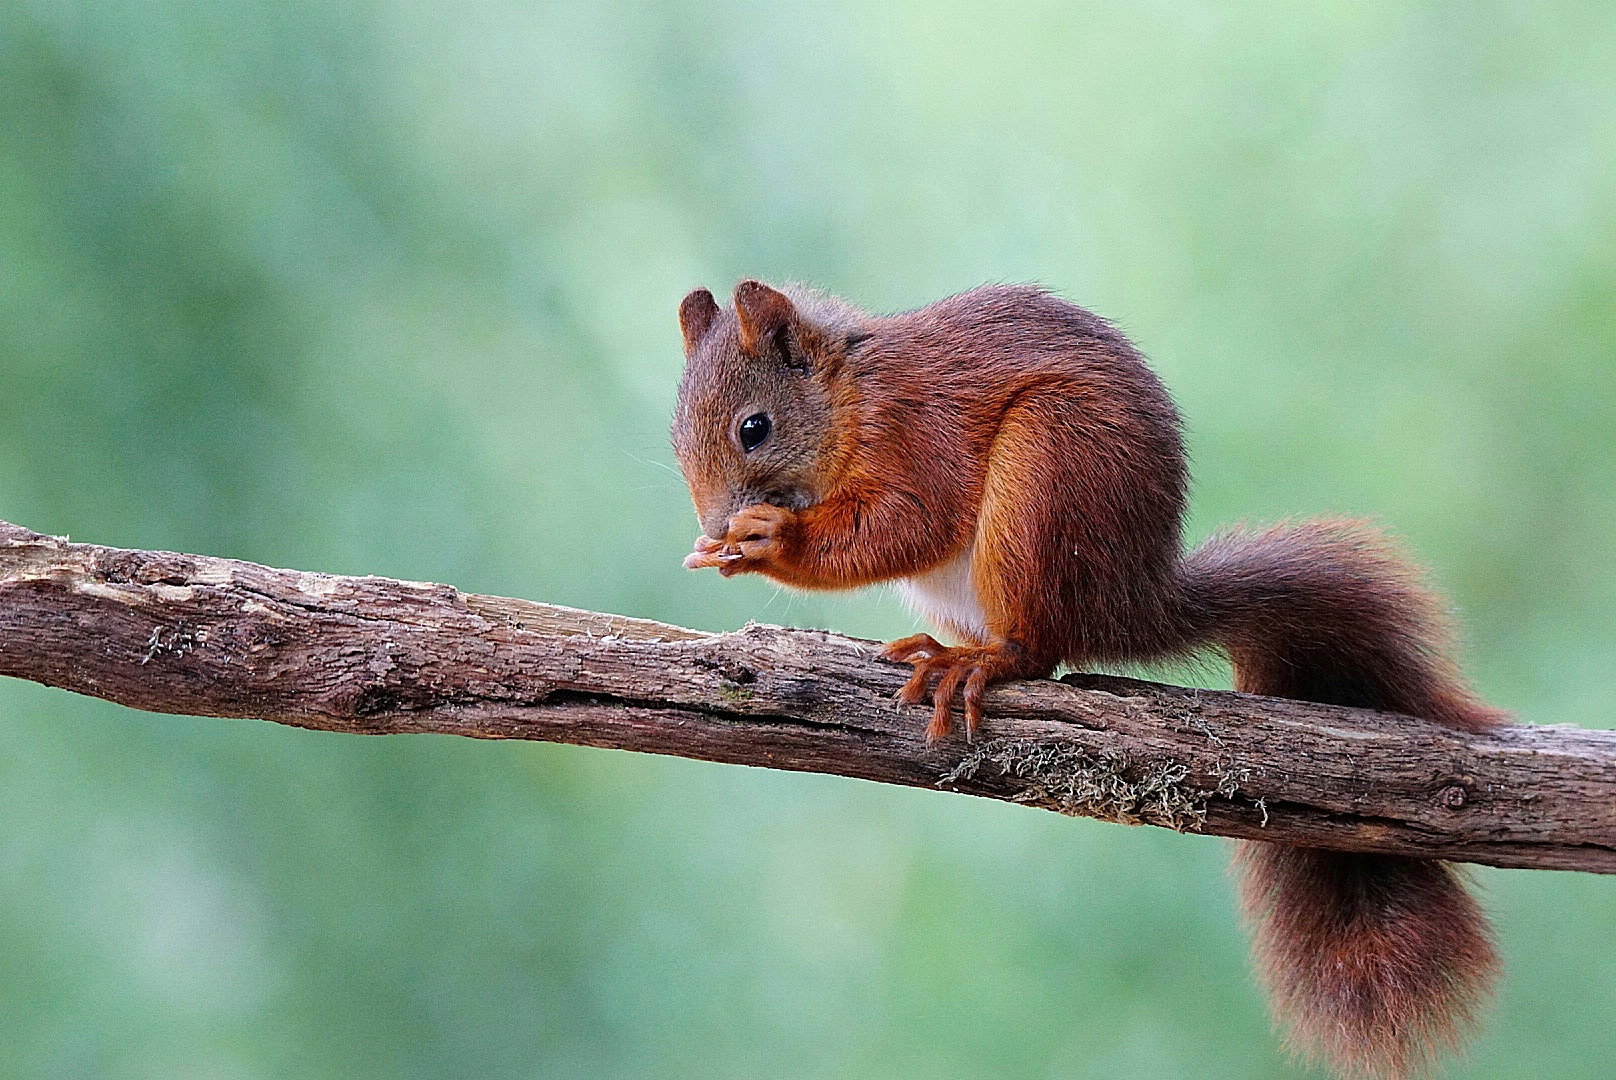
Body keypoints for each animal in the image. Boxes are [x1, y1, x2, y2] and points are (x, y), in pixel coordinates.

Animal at [669, 281, 1499, 1080]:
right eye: (676, 437)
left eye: (753, 428)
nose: (712, 526)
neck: (849, 393)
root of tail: (1133, 603)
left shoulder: (914, 432)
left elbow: (910, 522)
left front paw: (770, 540)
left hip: (1049, 471)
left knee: (1039, 652)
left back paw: (978, 663)